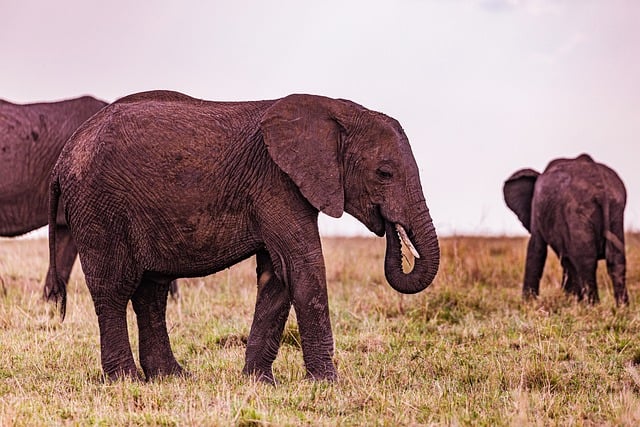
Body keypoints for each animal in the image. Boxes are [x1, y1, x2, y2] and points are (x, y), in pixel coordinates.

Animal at [45, 90, 442, 384]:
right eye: (384, 173)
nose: (390, 229)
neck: (334, 109)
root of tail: (63, 156)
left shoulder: (277, 189)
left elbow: (277, 276)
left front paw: (259, 382)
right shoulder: (277, 184)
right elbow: (303, 268)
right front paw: (328, 384)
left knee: (151, 292)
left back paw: (172, 377)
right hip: (99, 206)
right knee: (114, 288)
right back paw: (126, 380)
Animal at [504, 155, 632, 306]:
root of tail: (602, 190)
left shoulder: (537, 207)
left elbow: (536, 248)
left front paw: (528, 304)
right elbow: (567, 261)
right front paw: (572, 300)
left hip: (577, 209)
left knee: (586, 260)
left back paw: (592, 306)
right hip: (615, 209)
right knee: (616, 259)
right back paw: (622, 308)